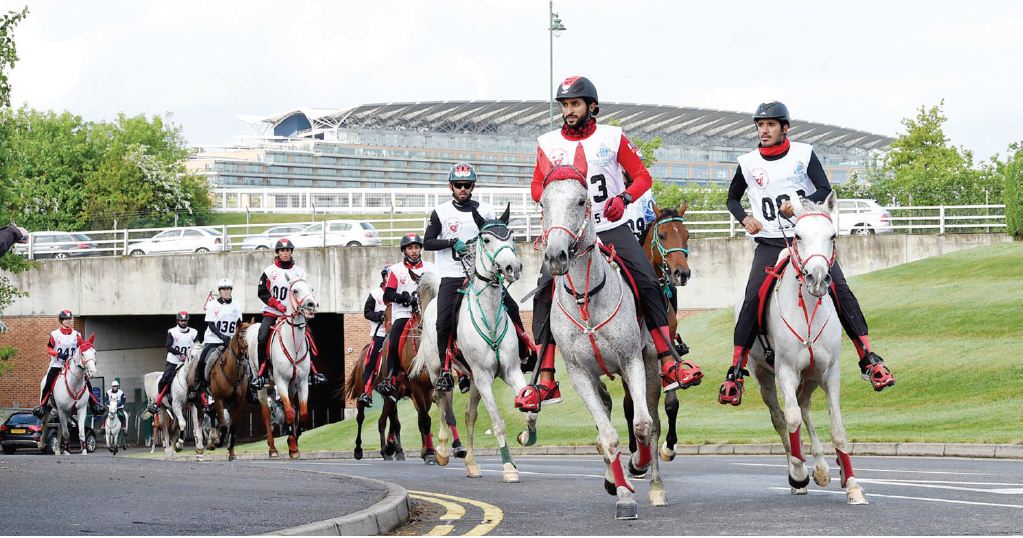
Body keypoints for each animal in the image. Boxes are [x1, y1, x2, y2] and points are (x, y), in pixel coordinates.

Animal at [207, 319, 253, 462]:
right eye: (241, 336)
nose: (249, 353)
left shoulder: (237, 403)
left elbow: (232, 427)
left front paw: (231, 453)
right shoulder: (219, 400)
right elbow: (223, 425)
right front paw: (219, 442)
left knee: (211, 413)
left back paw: (212, 442)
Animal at [245, 278, 317, 460]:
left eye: (311, 289)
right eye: (295, 291)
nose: (311, 305)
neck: (293, 344)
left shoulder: (301, 382)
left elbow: (301, 413)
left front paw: (295, 443)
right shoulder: (281, 381)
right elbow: (289, 413)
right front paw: (292, 445)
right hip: (263, 385)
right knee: (266, 413)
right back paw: (272, 449)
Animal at [411, 206, 540, 484]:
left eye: (511, 237)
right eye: (487, 239)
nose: (513, 267)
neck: (489, 317)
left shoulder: (510, 372)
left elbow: (530, 410)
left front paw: (526, 436)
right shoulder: (483, 377)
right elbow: (498, 422)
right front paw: (509, 468)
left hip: (472, 381)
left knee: (469, 415)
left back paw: (471, 464)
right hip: (439, 371)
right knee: (441, 402)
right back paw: (443, 451)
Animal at [536, 142, 662, 519]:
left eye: (582, 200)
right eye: (543, 203)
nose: (556, 256)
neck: (585, 298)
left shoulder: (632, 360)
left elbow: (643, 425)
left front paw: (637, 465)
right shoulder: (579, 374)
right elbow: (607, 435)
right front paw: (622, 493)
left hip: (650, 364)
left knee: (651, 419)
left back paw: (655, 485)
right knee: (605, 412)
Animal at [748, 194, 867, 507]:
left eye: (832, 236)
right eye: (798, 236)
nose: (817, 278)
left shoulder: (830, 372)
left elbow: (837, 429)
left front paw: (852, 484)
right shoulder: (786, 372)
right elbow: (791, 419)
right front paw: (799, 473)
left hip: (812, 376)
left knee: (805, 407)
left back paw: (825, 469)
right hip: (764, 378)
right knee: (782, 419)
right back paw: (797, 472)